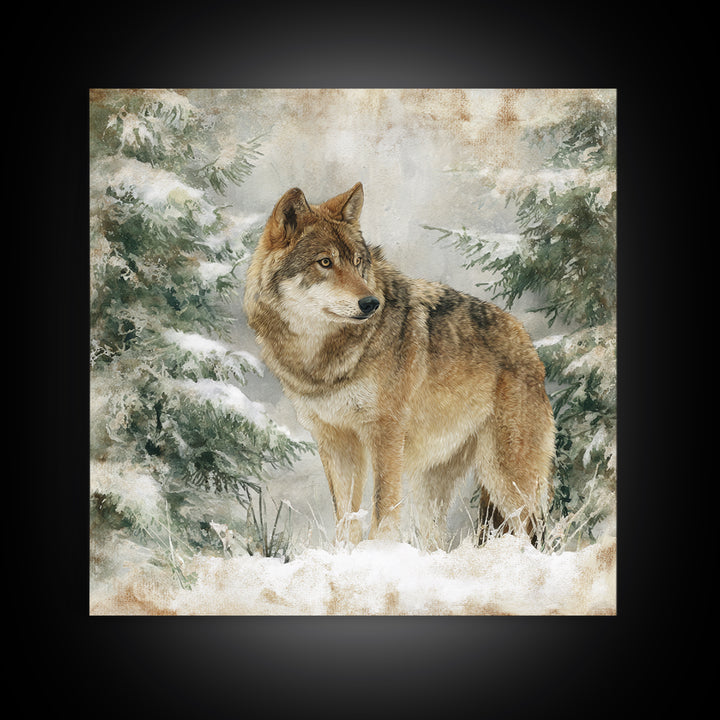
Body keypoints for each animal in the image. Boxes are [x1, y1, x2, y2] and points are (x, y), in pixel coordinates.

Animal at [244, 182, 555, 547]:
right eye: (325, 262)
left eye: (358, 262)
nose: (370, 303)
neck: (323, 361)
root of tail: (528, 344)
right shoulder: (335, 440)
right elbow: (346, 516)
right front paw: (347, 553)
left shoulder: (385, 432)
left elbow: (383, 507)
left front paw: (378, 551)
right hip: (431, 485)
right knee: (436, 541)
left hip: (506, 476)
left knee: (533, 532)